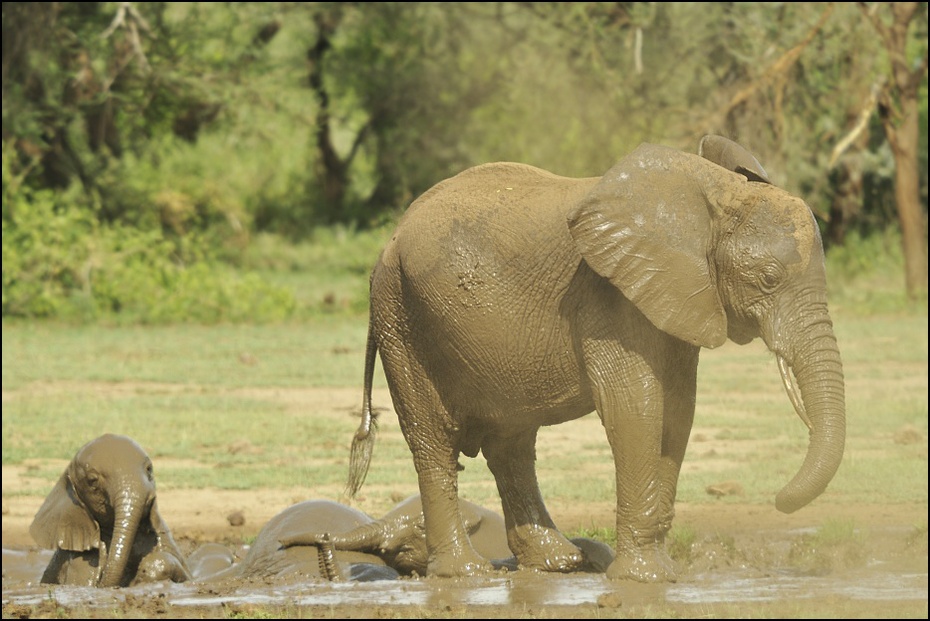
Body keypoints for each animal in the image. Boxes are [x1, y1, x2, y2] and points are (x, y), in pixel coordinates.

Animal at [344, 134, 844, 580]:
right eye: (769, 278)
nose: (778, 499)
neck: (708, 196)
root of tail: (388, 242)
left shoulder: (678, 296)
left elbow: (678, 410)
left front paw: (663, 572)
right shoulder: (609, 297)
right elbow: (636, 407)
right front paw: (644, 578)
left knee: (511, 444)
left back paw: (557, 562)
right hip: (401, 317)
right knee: (433, 442)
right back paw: (466, 573)